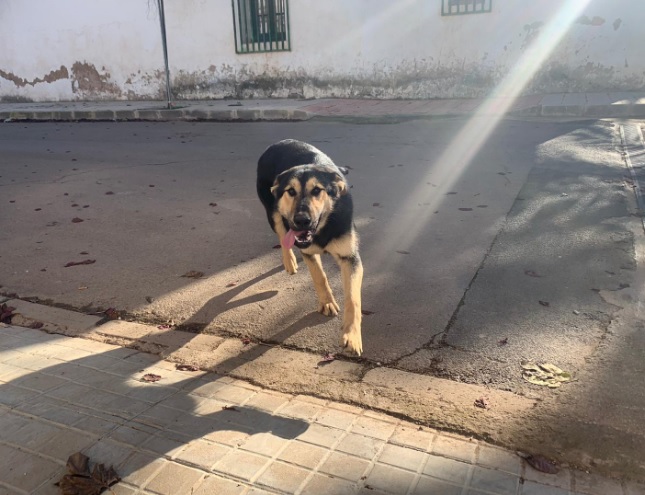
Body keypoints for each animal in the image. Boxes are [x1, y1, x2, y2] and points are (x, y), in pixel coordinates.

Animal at [258, 140, 368, 356]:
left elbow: (353, 299)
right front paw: (327, 302)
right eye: (290, 191)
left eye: (317, 190)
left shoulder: (350, 258)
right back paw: (289, 261)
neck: (323, 227)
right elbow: (319, 276)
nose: (301, 220)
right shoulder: (308, 251)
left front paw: (351, 336)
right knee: (282, 235)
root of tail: (277, 143)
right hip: (273, 213)